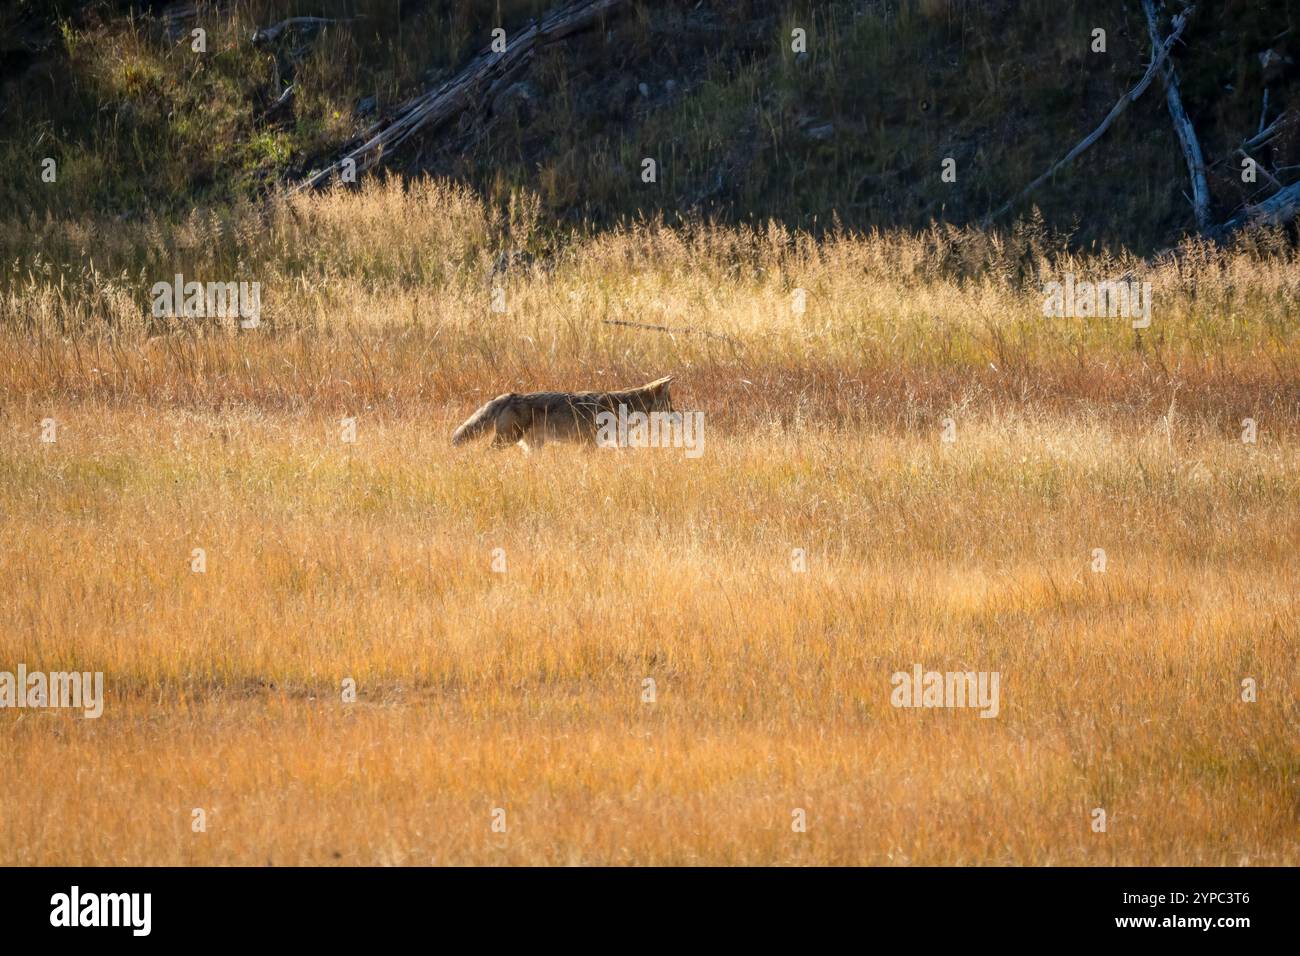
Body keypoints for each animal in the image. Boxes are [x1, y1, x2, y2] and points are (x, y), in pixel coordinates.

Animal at [450, 376, 674, 449]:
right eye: (670, 403)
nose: (678, 415)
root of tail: (510, 395)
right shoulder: (591, 443)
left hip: (533, 446)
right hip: (506, 441)